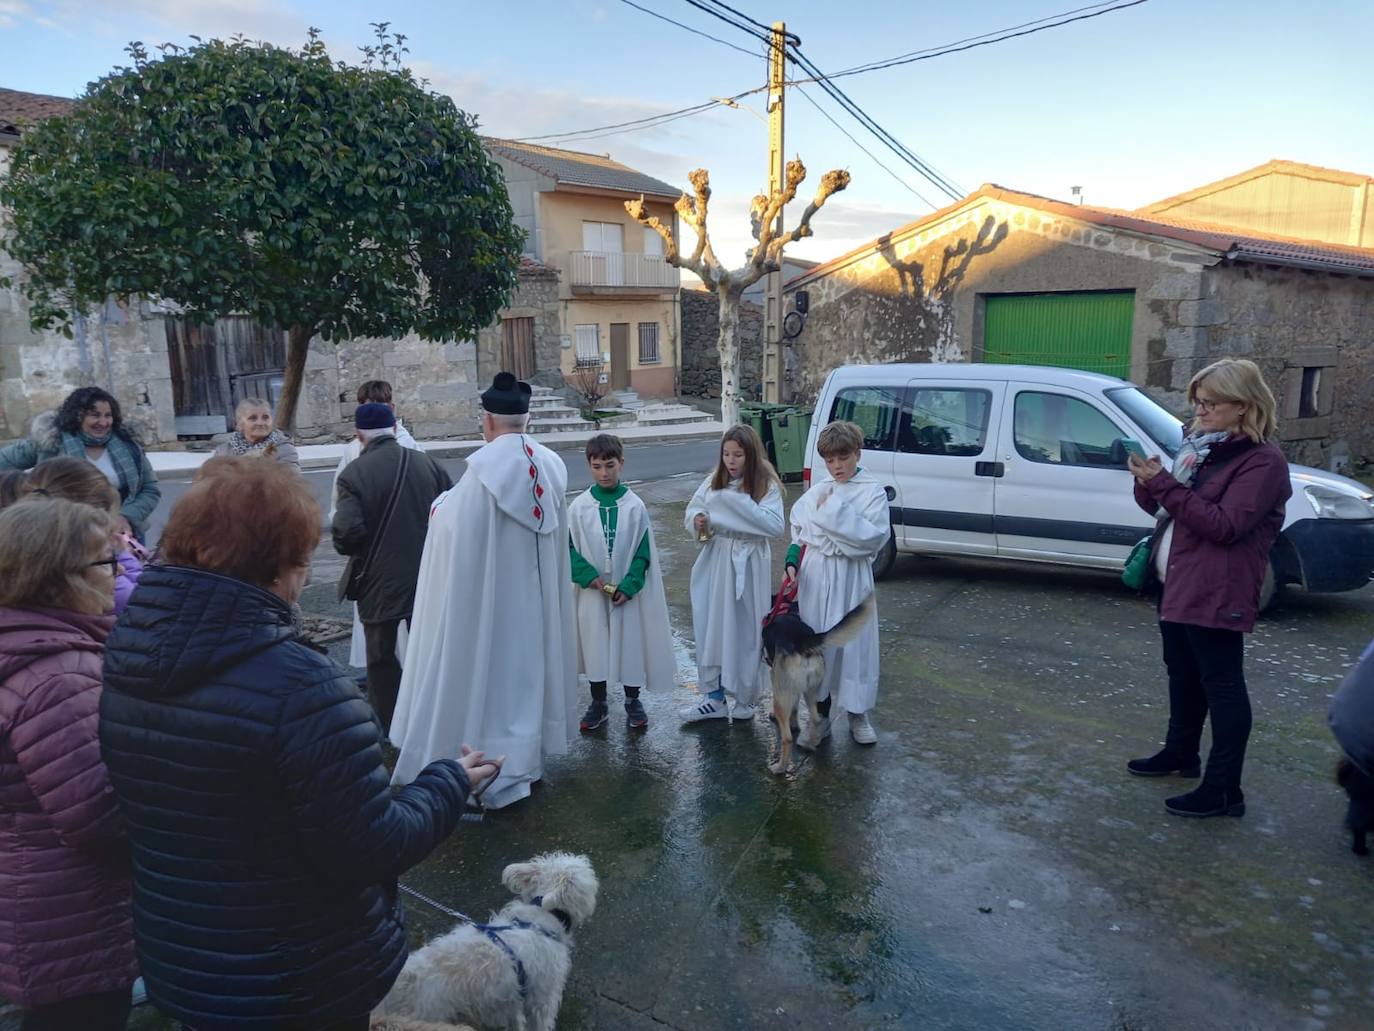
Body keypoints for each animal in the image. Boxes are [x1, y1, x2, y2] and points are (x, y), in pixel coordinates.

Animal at [758, 596, 873, 775]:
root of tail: (802, 641)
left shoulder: (776, 679)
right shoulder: (795, 688)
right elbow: (795, 707)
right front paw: (795, 723)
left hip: (784, 694)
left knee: (787, 738)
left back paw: (780, 767)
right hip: (811, 691)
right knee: (816, 718)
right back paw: (810, 744)